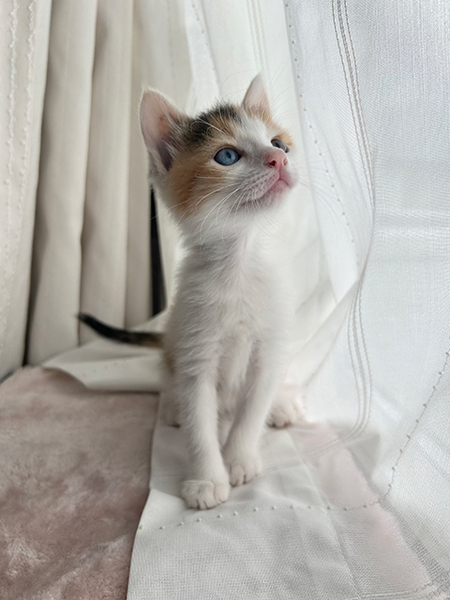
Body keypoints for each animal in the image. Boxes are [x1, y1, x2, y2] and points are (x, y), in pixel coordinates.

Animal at [81, 75, 303, 510]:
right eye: (227, 156)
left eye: (279, 142)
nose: (279, 159)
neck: (239, 267)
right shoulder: (195, 352)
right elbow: (200, 422)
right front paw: (207, 479)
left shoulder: (269, 346)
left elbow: (252, 408)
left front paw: (239, 457)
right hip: (175, 341)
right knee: (172, 379)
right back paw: (171, 406)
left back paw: (279, 404)